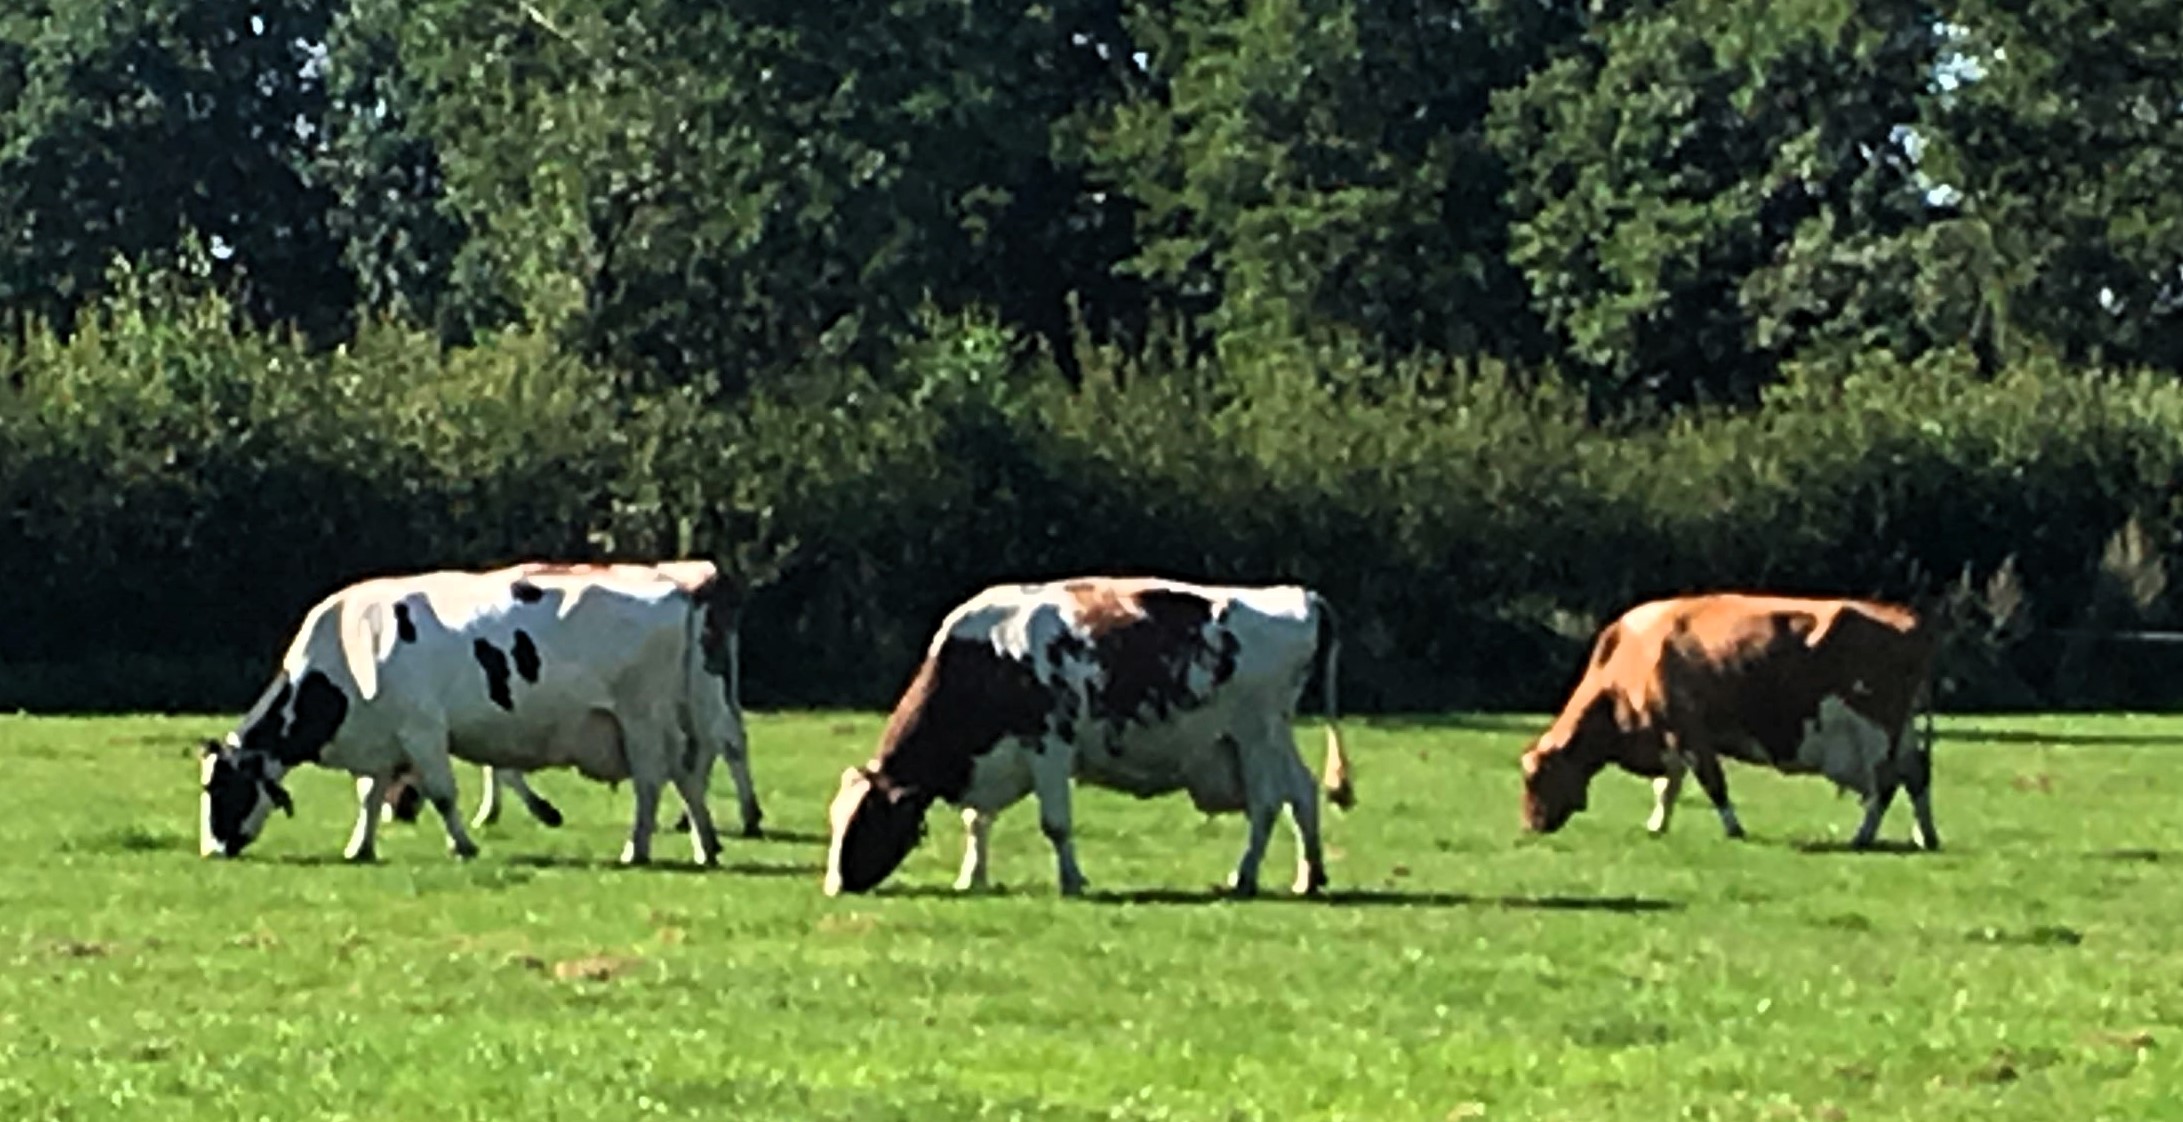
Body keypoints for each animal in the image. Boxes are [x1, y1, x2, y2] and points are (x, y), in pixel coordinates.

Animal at [198, 554, 759, 860]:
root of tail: (677, 588)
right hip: (680, 714)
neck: (349, 648)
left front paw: (464, 844)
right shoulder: (384, 739)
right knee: (689, 775)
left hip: (643, 717)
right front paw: (360, 847)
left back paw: (637, 849)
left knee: (654, 782)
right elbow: (369, 796)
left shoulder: (423, 729)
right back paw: (707, 846)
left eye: (221, 789)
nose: (211, 849)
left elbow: (444, 794)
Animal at [825, 580, 1353, 894]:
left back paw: (1244, 876)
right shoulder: (995, 757)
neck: (986, 659)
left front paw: (1072, 880)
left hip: (1254, 735)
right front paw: (971, 877)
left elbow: (1055, 824)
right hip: (1273, 736)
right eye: (835, 819)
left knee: (1266, 805)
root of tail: (1298, 595)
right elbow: (978, 821)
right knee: (1302, 792)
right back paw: (1310, 876)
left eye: (867, 819)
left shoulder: (1049, 747)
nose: (833, 884)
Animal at [1519, 589, 1947, 842]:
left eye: (1535, 778)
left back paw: (1863, 835)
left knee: (1886, 783)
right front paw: (1658, 825)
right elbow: (1667, 786)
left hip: (1877, 732)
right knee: (1916, 776)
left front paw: (1733, 828)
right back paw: (1925, 836)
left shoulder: (1689, 733)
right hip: (1902, 733)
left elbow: (1713, 785)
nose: (1530, 826)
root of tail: (1907, 616)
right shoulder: (1669, 737)